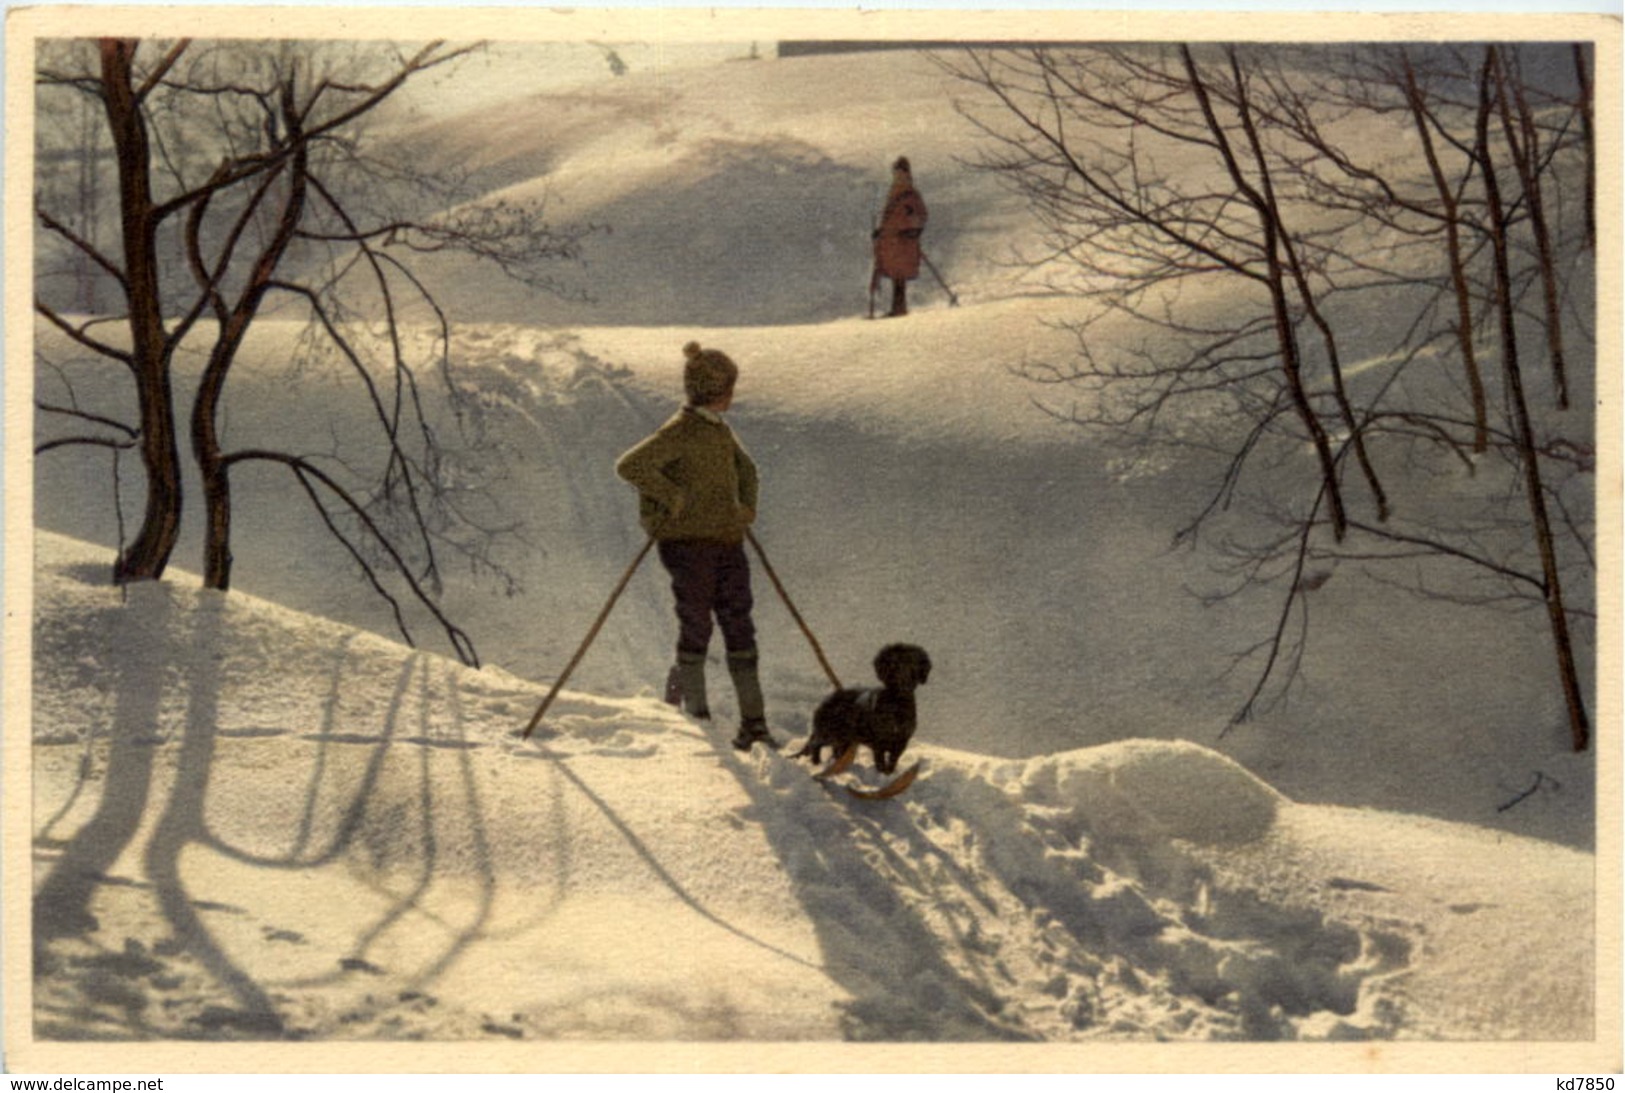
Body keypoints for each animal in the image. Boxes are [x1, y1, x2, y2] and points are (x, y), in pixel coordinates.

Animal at [793, 639, 936, 776]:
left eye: (911, 664)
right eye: (893, 664)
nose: (902, 682)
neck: (897, 706)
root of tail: (825, 701)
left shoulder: (901, 742)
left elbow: (892, 762)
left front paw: (889, 775)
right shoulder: (879, 743)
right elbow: (880, 762)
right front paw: (882, 775)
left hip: (842, 740)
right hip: (828, 733)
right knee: (815, 745)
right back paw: (816, 763)